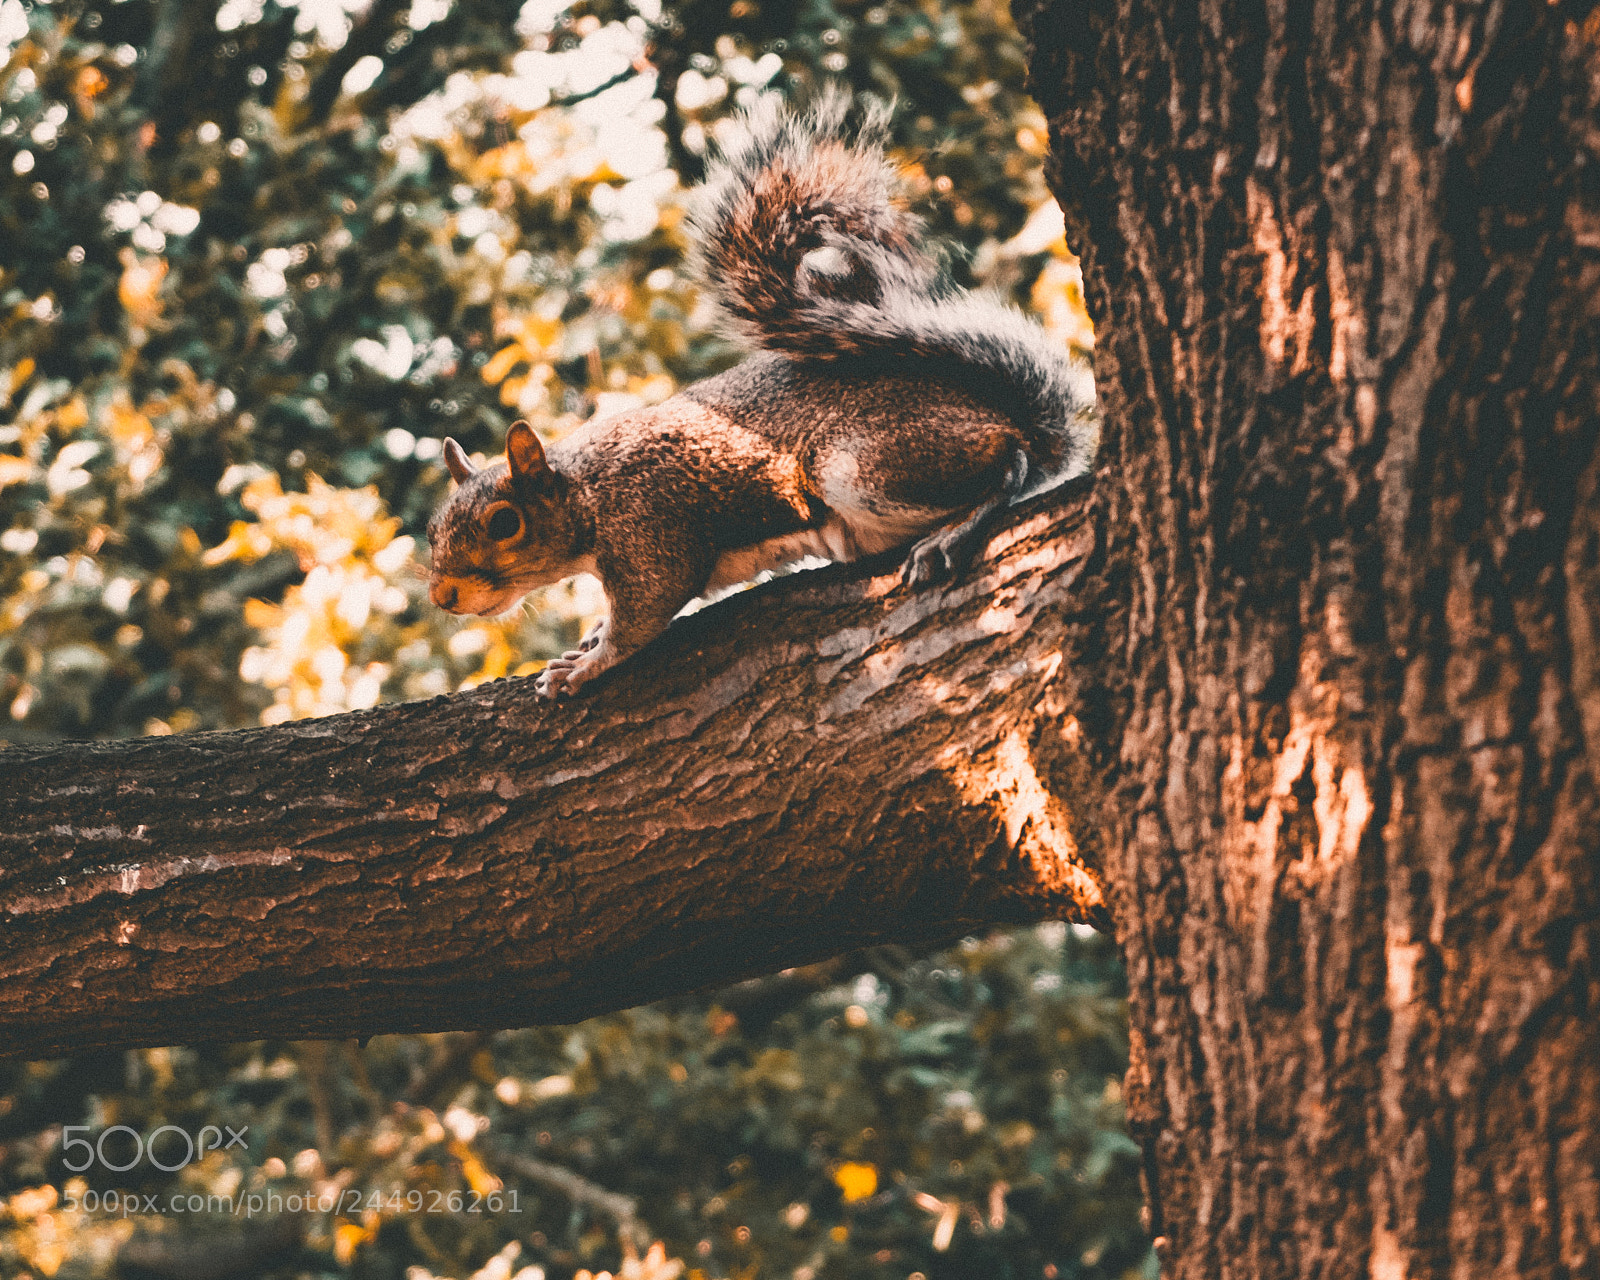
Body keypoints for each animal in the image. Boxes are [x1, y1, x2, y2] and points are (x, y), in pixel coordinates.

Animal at [426, 92, 1098, 698]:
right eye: (434, 529)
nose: (443, 595)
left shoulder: (648, 529)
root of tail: (1005, 418)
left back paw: (954, 529)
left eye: (504, 523)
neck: (585, 491)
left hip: (863, 463)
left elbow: (645, 613)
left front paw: (588, 664)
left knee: (1007, 468)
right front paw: (590, 634)